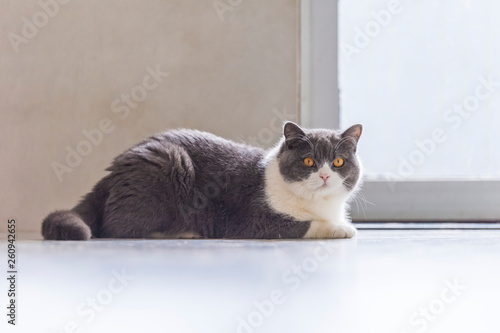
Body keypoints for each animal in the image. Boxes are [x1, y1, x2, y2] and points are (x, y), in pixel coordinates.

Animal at [42, 121, 364, 239]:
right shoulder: (252, 221)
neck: (321, 204)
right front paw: (342, 229)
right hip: (168, 162)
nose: (325, 174)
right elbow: (304, 225)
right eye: (309, 162)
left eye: (338, 162)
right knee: (117, 228)